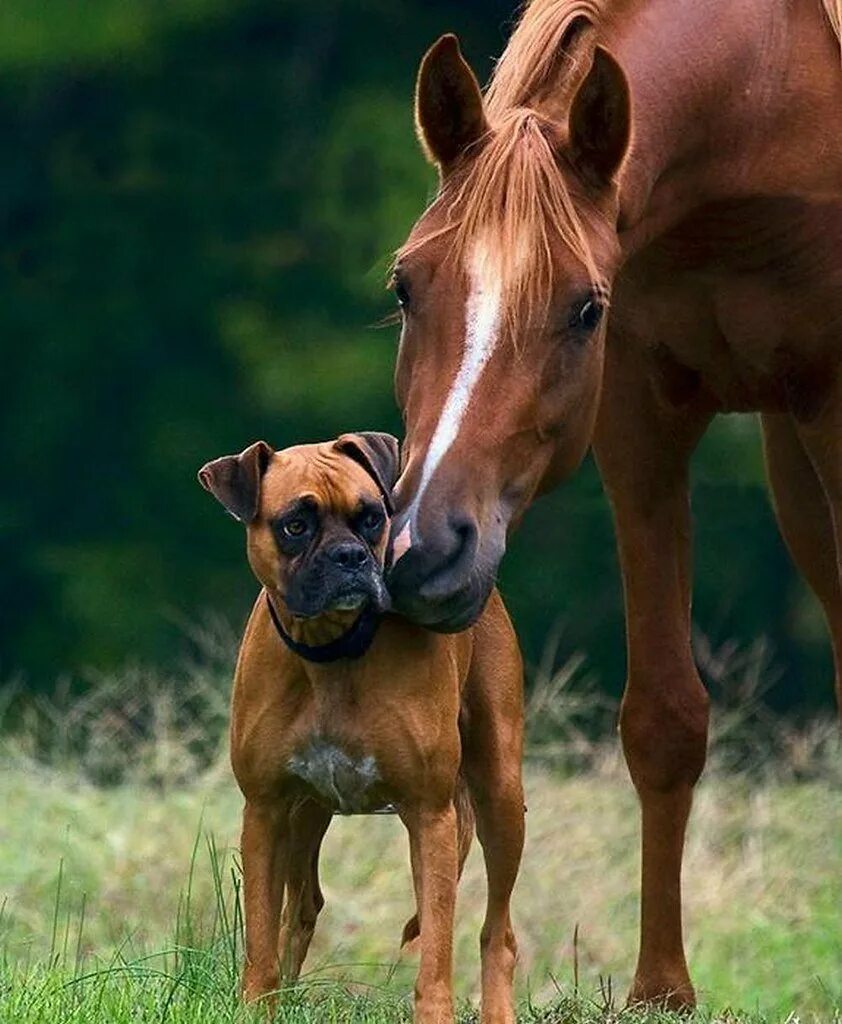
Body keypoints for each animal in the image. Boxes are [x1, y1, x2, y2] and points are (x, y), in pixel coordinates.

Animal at [199, 434, 528, 1024]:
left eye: (371, 518)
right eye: (295, 524)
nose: (349, 556)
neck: (331, 651)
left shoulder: (430, 815)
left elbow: (436, 949)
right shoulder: (265, 812)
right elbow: (261, 934)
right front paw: (260, 1003)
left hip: (500, 797)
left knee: (498, 931)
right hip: (305, 814)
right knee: (301, 907)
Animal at [387, 0, 842, 1007]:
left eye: (583, 306)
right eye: (404, 285)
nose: (426, 551)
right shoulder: (639, 416)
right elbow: (663, 717)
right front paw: (661, 990)